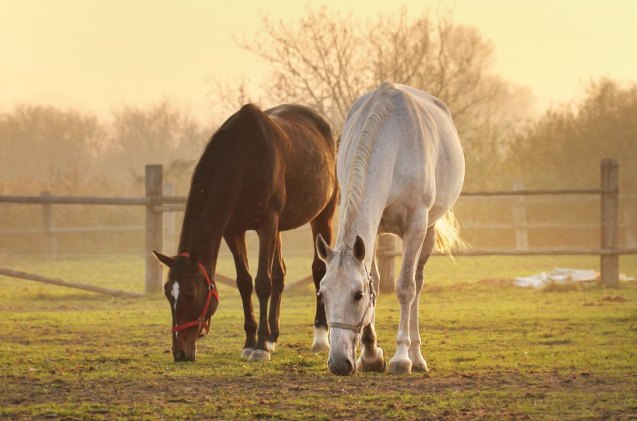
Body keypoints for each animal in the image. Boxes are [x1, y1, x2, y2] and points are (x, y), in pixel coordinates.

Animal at [153, 102, 338, 360]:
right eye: (168, 292)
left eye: (190, 292)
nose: (180, 352)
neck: (244, 159)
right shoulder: (234, 231)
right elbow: (244, 282)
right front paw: (251, 342)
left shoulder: (266, 225)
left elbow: (262, 283)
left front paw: (259, 347)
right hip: (279, 228)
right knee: (280, 274)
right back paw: (272, 337)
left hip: (322, 216)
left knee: (318, 270)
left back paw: (320, 337)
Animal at [316, 82, 464, 374]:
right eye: (322, 294)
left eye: (357, 295)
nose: (338, 363)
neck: (392, 143)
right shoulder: (372, 231)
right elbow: (375, 277)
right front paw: (371, 355)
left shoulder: (416, 225)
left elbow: (405, 288)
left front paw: (401, 358)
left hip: (427, 231)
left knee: (417, 283)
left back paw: (416, 357)